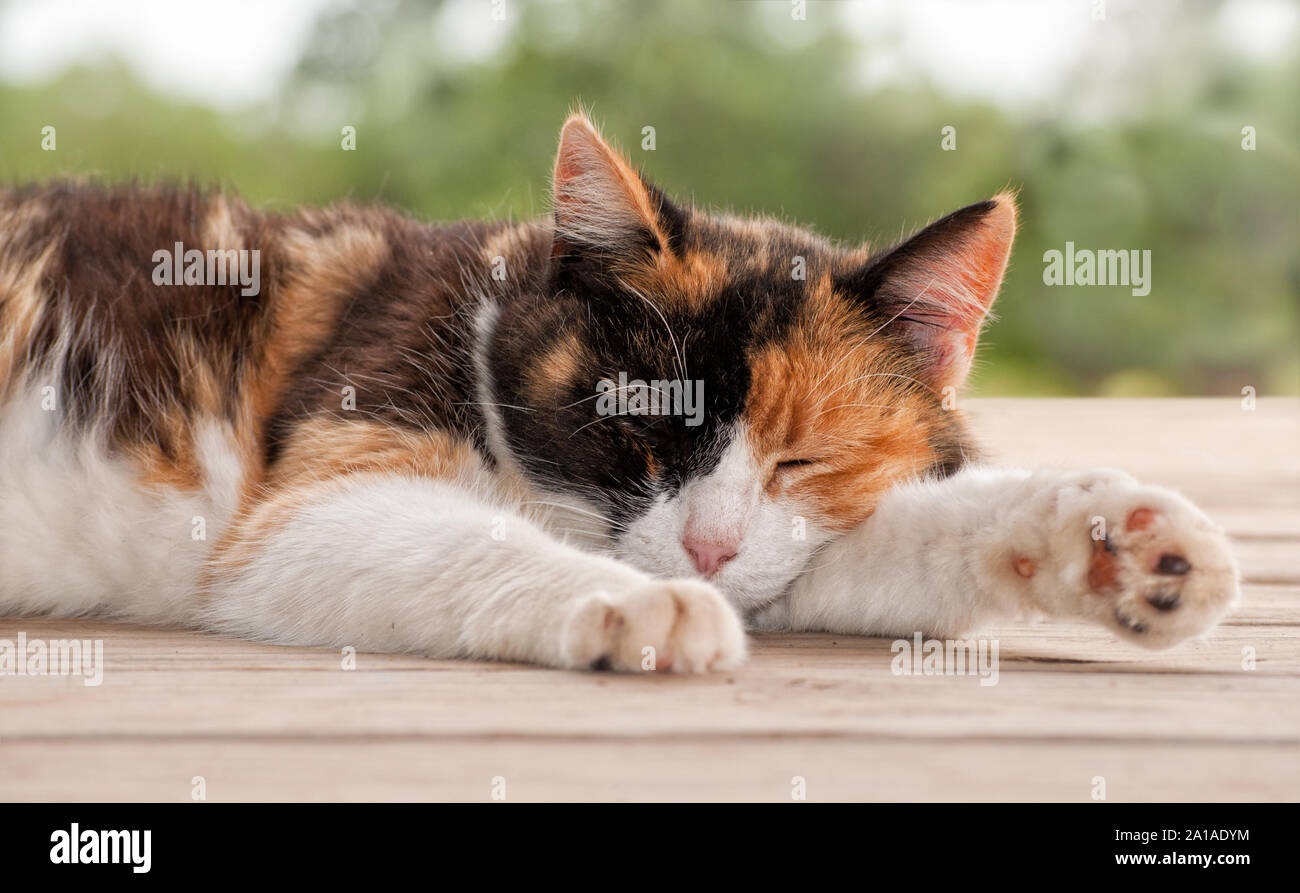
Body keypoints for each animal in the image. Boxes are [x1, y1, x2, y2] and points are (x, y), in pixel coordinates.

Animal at [0, 111, 1237, 670]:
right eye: (641, 419)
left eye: (805, 457)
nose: (706, 551)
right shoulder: (316, 487)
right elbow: (437, 539)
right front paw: (643, 603)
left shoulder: (799, 544)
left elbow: (886, 545)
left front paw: (1113, 543)